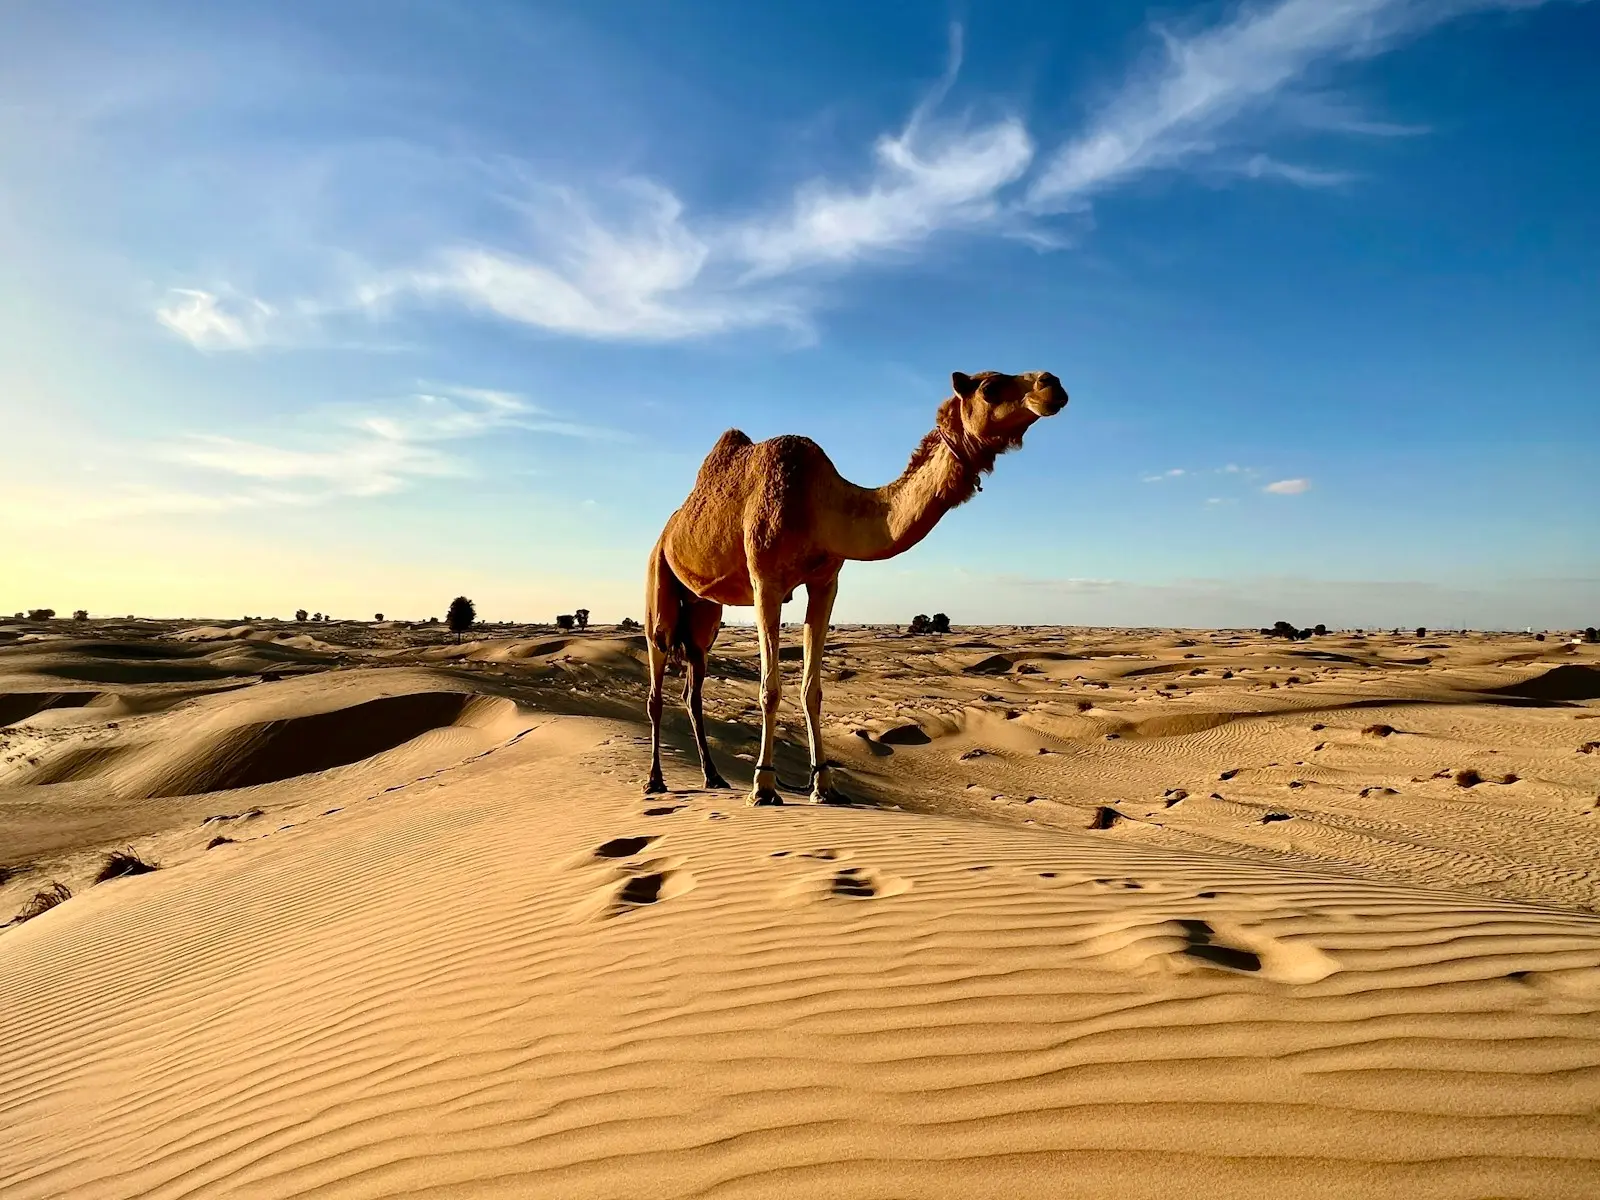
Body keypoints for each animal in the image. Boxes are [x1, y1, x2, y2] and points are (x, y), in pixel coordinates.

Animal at [644, 369, 1069, 805]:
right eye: (990, 387)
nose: (1051, 384)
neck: (816, 503)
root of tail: (669, 529)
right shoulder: (766, 580)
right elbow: (769, 690)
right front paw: (763, 786)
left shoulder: (825, 582)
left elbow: (813, 691)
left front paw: (824, 786)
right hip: (659, 575)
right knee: (657, 673)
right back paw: (656, 780)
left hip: (704, 612)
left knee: (692, 685)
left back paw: (714, 777)